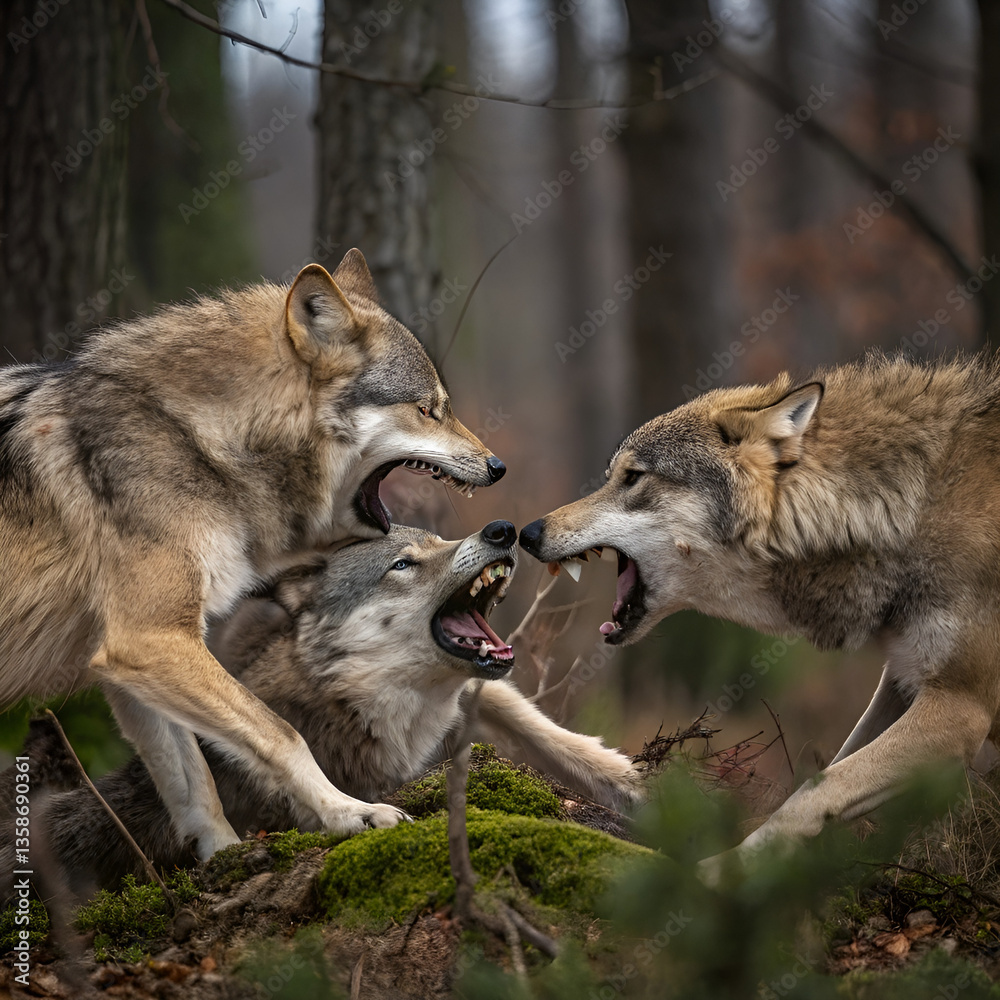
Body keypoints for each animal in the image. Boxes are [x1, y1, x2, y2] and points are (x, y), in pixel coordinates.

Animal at [0, 250, 506, 861]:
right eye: (428, 410)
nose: (498, 466)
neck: (198, 438)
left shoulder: (130, 658)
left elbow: (194, 783)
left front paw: (222, 858)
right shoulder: (150, 639)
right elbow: (281, 733)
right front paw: (350, 813)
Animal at [1, 521, 640, 897]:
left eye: (441, 539)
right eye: (402, 564)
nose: (502, 529)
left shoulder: (475, 696)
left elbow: (539, 726)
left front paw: (624, 779)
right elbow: (285, 748)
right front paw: (352, 812)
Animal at [519, 353, 1000, 867]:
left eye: (632, 477)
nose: (527, 532)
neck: (906, 508)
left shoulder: (960, 708)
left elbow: (817, 792)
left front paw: (727, 871)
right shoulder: (900, 681)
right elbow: (825, 774)